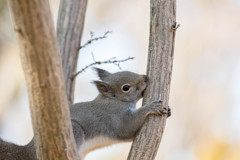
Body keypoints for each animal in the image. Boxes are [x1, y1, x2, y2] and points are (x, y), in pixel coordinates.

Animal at [0, 68, 171, 159]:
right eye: (126, 87)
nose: (145, 77)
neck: (113, 100)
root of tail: (28, 152)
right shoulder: (115, 117)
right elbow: (128, 128)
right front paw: (151, 107)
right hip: (74, 131)